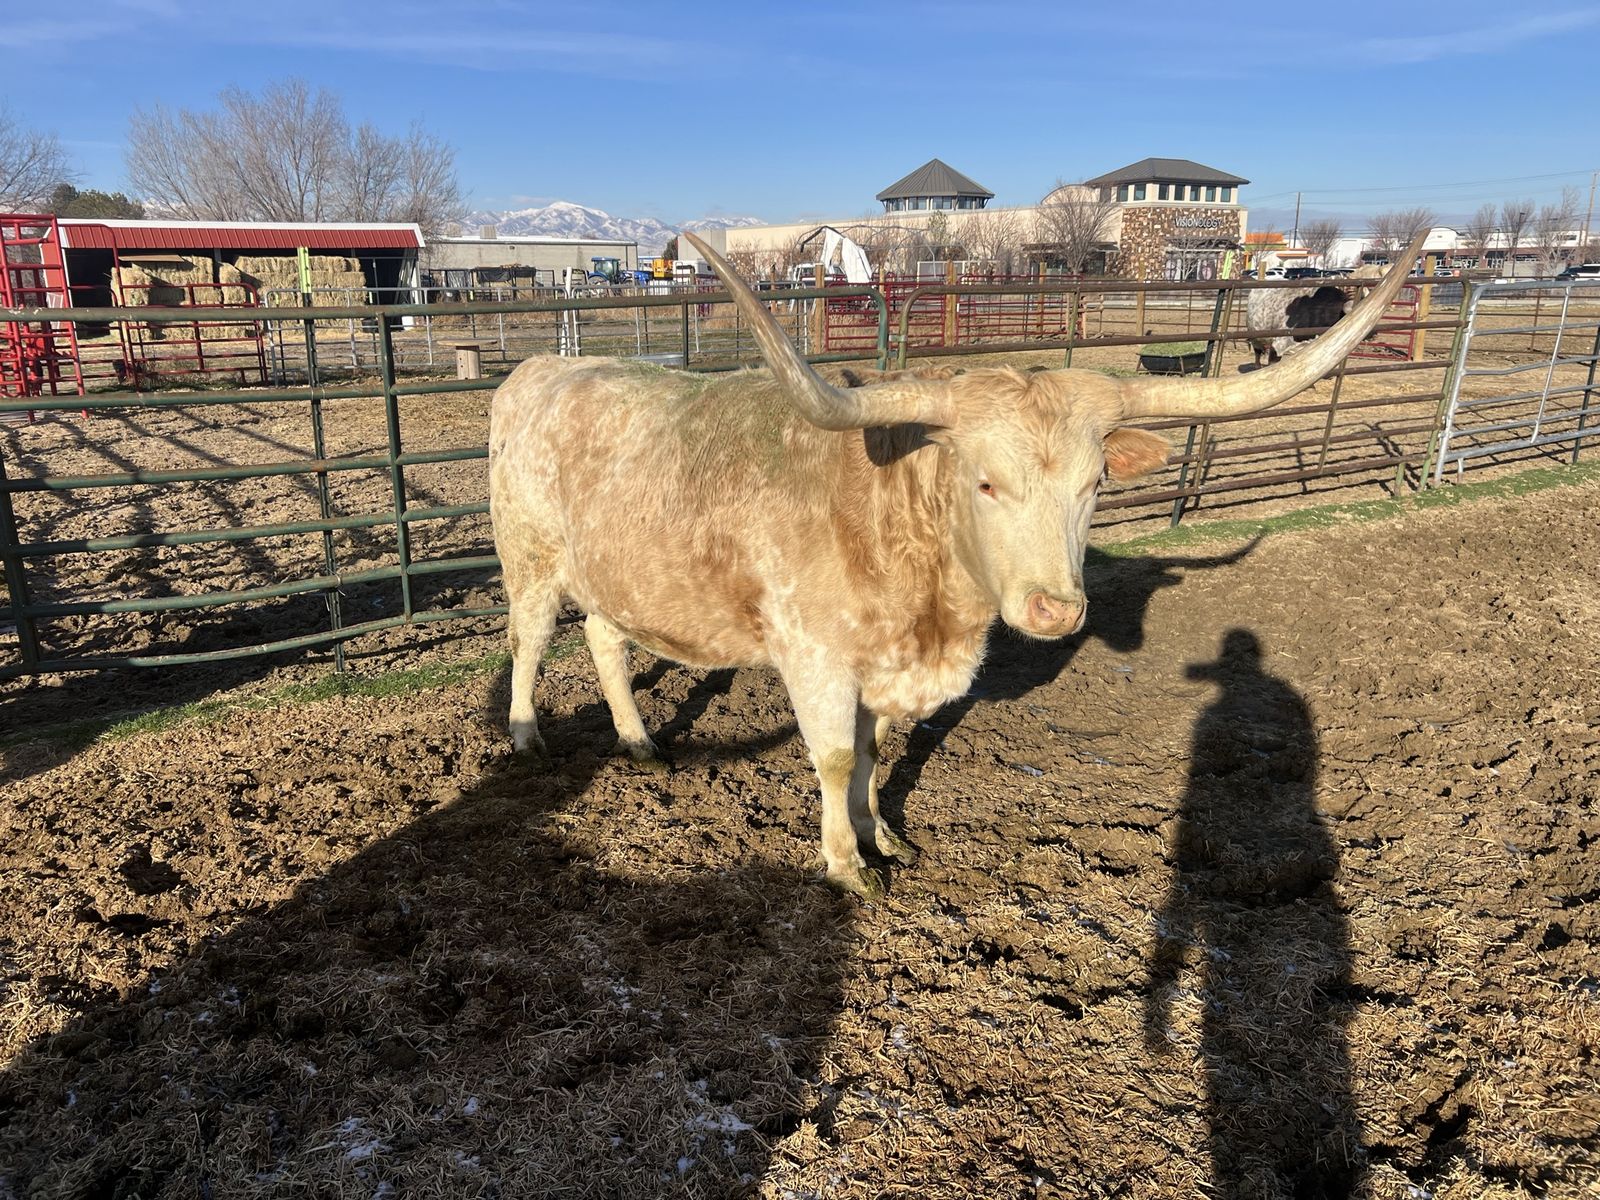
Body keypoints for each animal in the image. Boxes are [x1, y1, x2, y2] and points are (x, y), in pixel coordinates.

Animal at [488, 230, 1426, 897]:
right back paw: (527, 735)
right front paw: (846, 867)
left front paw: (882, 836)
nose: (1055, 610)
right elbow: (835, 760)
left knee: (605, 642)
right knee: (530, 640)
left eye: (1094, 483)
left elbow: (873, 757)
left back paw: (640, 741)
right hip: (528, 560)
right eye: (984, 480)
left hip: (616, 574)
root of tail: (540, 369)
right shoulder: (816, 660)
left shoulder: (884, 669)